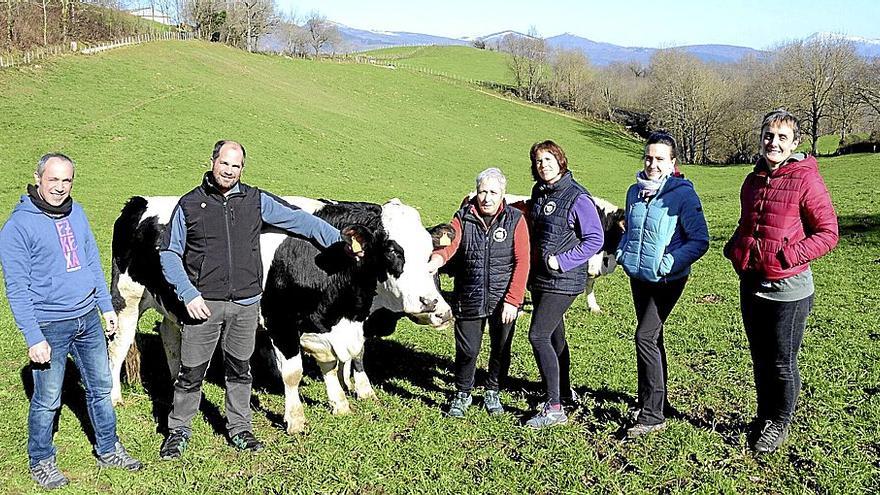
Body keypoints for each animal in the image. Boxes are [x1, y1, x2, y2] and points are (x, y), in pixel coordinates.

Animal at [109, 197, 450, 434]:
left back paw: (177, 378)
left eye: (429, 254)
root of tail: (140, 202)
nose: (435, 305)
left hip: (174, 304)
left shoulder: (327, 327)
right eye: (393, 250)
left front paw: (340, 403)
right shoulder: (281, 322)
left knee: (170, 336)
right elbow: (293, 373)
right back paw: (114, 397)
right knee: (118, 347)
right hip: (127, 298)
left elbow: (333, 363)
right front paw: (296, 419)